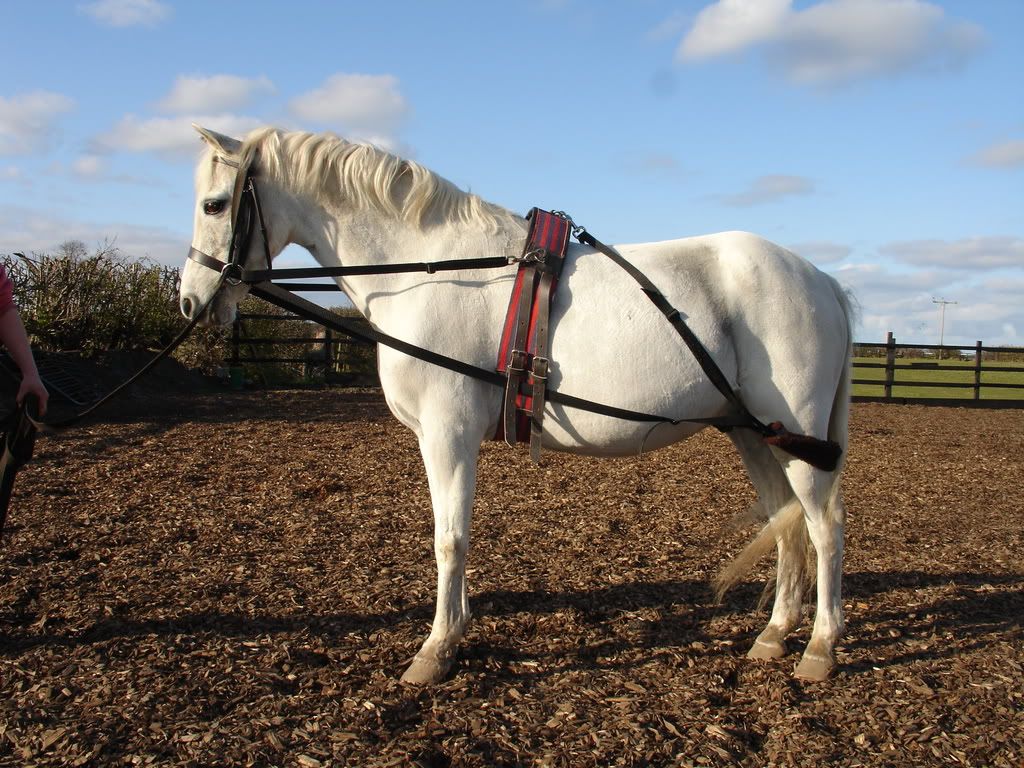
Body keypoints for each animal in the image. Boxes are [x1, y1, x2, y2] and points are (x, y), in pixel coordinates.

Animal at [179, 124, 854, 684]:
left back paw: (819, 647)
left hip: (795, 436)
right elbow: (456, 535)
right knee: (785, 519)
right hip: (752, 432)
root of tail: (822, 280)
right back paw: (773, 635)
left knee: (824, 525)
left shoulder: (447, 432)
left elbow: (449, 539)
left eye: (214, 205)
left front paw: (436, 649)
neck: (430, 269)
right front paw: (455, 633)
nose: (190, 299)